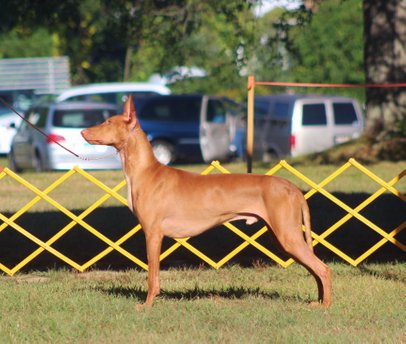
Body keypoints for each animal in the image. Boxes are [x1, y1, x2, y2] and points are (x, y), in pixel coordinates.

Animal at [81, 95, 332, 308]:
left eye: (108, 122)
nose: (83, 131)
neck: (146, 172)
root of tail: (293, 188)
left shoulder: (153, 234)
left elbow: (152, 275)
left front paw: (147, 305)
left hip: (288, 236)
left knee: (323, 269)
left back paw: (326, 306)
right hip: (282, 238)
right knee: (315, 270)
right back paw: (318, 301)